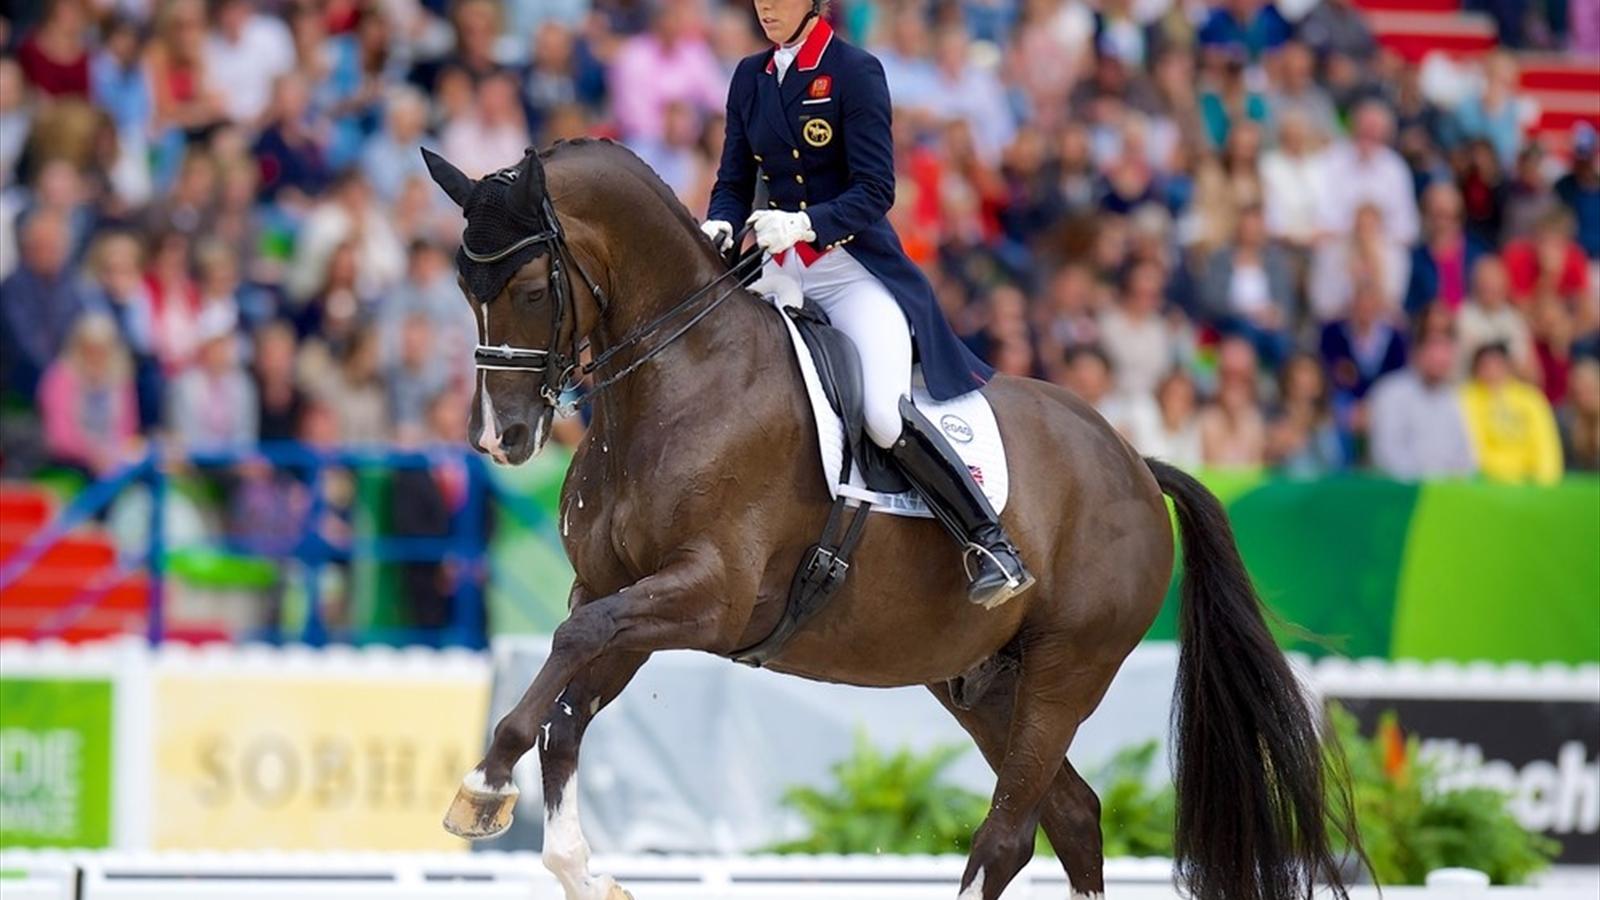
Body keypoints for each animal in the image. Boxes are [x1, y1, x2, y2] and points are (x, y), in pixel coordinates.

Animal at [423, 140, 1358, 900]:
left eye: (532, 287)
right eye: (465, 288)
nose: (501, 438)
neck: (677, 377)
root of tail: (1133, 462)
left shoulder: (706, 594)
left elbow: (566, 657)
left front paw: (485, 784)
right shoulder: (622, 594)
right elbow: (567, 708)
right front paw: (576, 864)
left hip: (1068, 668)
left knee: (1009, 833)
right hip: (984, 682)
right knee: (1072, 815)